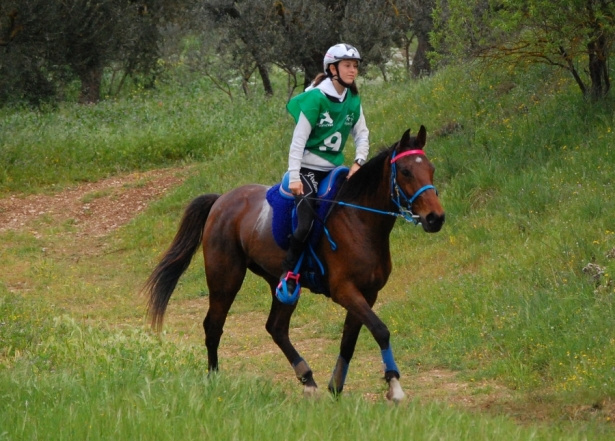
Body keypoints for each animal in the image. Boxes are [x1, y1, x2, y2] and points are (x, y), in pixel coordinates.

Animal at [144, 125, 442, 400]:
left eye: (431, 169)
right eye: (405, 172)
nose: (435, 218)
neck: (358, 220)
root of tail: (221, 201)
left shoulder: (367, 293)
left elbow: (350, 339)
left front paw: (337, 387)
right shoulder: (344, 291)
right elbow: (380, 330)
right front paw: (394, 386)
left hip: (282, 284)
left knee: (276, 328)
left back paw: (307, 378)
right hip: (225, 279)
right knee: (213, 325)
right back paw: (215, 379)